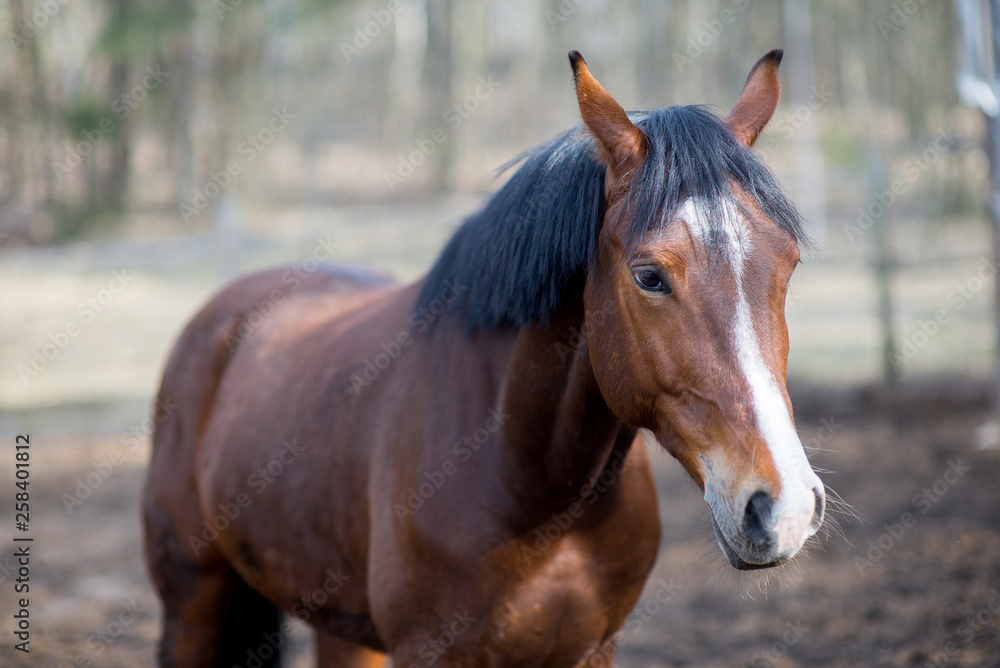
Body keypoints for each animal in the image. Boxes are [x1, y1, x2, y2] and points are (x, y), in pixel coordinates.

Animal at [143, 49, 828, 664]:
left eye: (789, 262)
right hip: (192, 606)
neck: (526, 480)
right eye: (650, 276)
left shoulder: (592, 650)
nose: (784, 507)